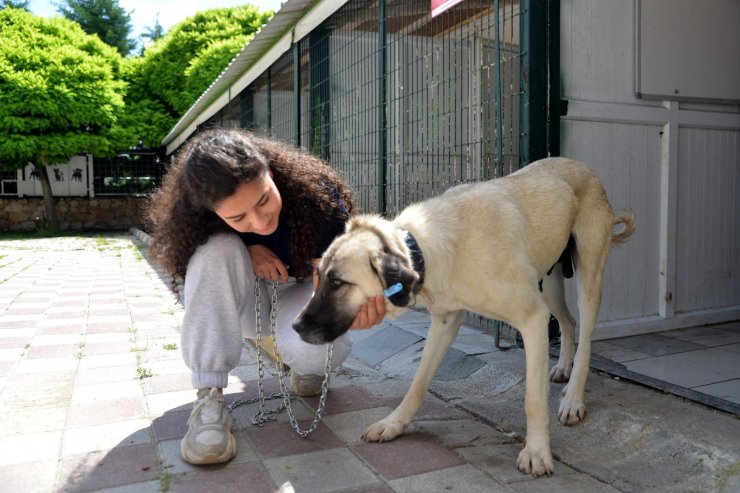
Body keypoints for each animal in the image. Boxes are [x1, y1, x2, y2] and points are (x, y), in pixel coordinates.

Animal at [292, 157, 632, 472]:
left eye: (338, 282)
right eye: (320, 275)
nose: (295, 326)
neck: (423, 249)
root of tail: (582, 167)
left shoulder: (532, 318)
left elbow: (533, 399)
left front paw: (536, 452)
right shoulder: (446, 320)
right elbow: (418, 381)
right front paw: (394, 423)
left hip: (588, 276)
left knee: (585, 335)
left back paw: (573, 398)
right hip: (548, 283)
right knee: (568, 322)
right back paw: (562, 367)